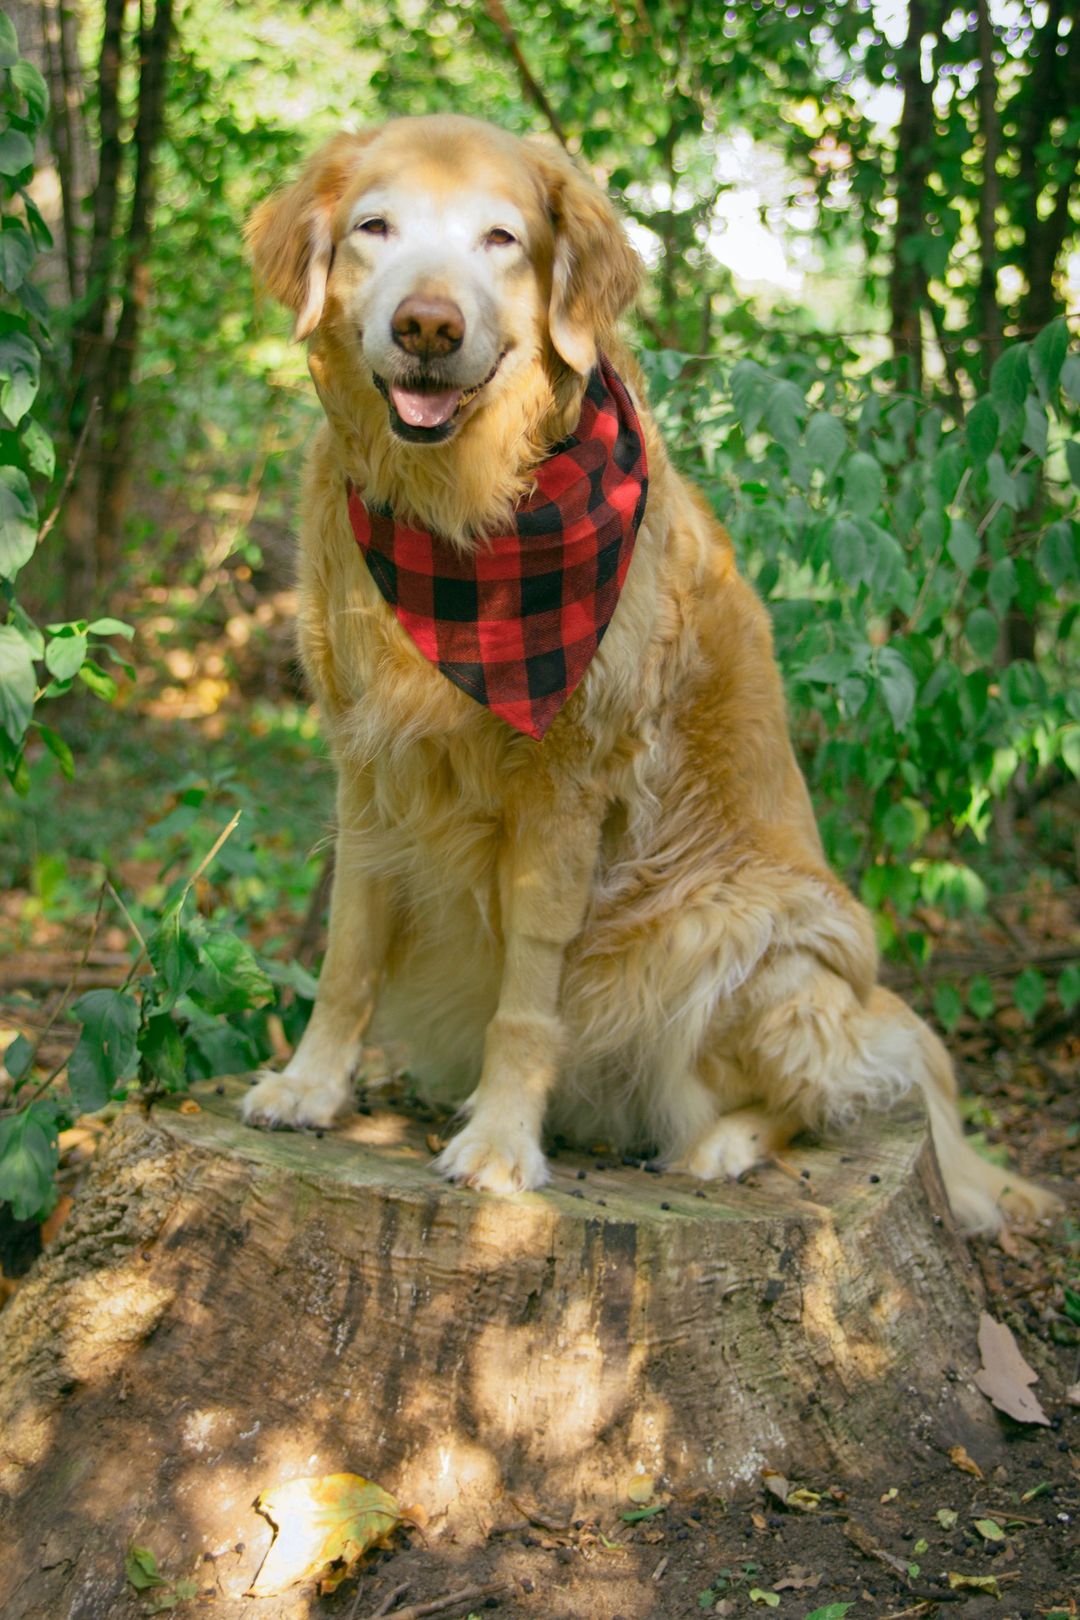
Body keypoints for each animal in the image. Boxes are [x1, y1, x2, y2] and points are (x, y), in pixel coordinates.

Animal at [242, 114, 1055, 1224]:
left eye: (501, 238)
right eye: (375, 227)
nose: (427, 327)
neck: (464, 517)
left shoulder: (566, 783)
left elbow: (527, 997)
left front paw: (501, 1143)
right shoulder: (368, 763)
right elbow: (348, 952)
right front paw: (314, 1085)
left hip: (745, 937)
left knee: (821, 1096)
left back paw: (720, 1147)